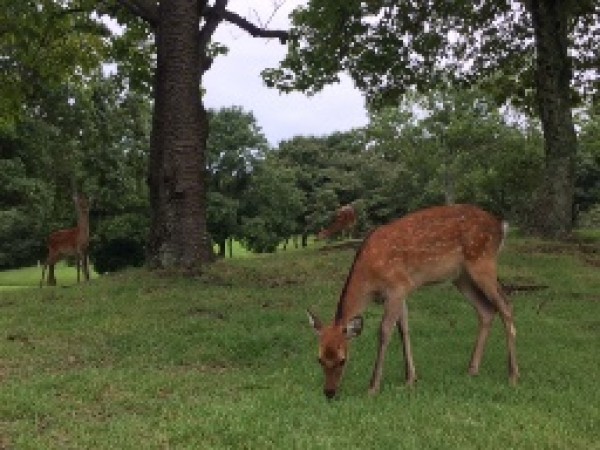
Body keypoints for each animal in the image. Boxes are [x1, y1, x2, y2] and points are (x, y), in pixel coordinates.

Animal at [308, 203, 516, 398]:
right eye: (319, 358)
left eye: (343, 359)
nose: (329, 392)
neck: (369, 280)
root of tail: (501, 226)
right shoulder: (401, 292)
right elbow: (404, 330)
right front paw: (410, 379)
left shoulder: (397, 287)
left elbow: (385, 332)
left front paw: (373, 387)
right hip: (461, 277)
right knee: (486, 310)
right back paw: (472, 370)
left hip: (482, 261)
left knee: (506, 306)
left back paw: (513, 375)